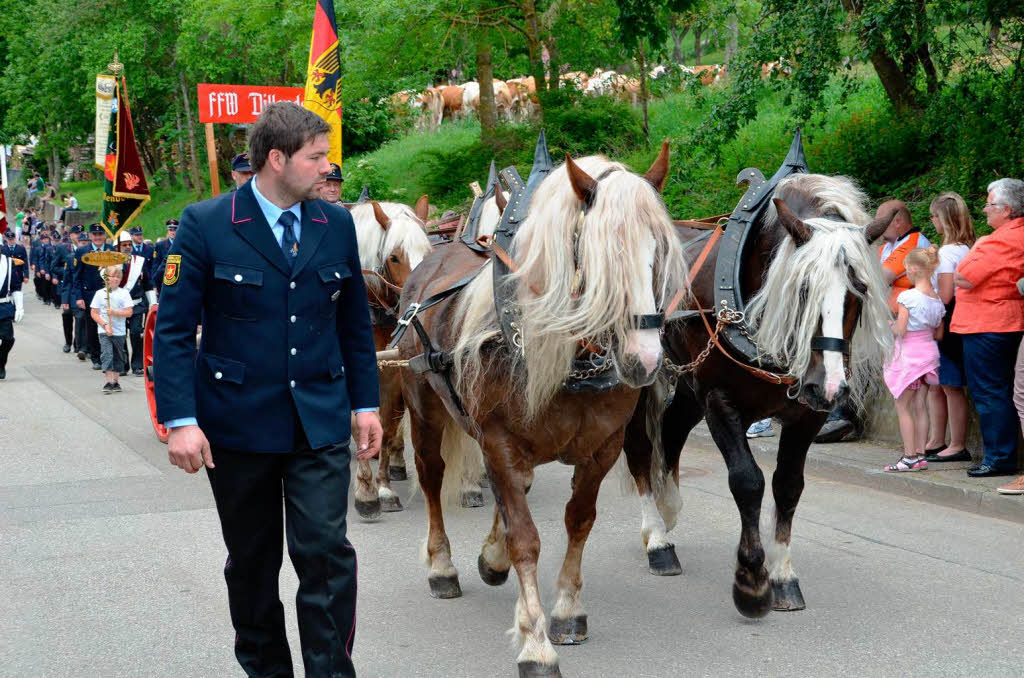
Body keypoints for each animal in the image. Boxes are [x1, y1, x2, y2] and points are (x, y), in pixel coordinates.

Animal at [395, 146, 684, 675]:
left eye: (660, 253)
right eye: (600, 257)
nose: (645, 360)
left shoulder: (602, 448)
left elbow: (579, 520)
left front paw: (567, 610)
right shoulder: (499, 441)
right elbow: (525, 538)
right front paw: (535, 640)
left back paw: (491, 560)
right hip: (425, 409)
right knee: (431, 477)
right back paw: (442, 566)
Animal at [614, 174, 897, 614]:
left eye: (860, 290)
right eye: (802, 287)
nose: (830, 387)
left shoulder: (807, 416)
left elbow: (788, 485)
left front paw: (782, 574)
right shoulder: (720, 401)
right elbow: (748, 481)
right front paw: (751, 578)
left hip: (689, 385)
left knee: (673, 431)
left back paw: (669, 508)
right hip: (642, 373)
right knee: (641, 448)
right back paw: (657, 539)